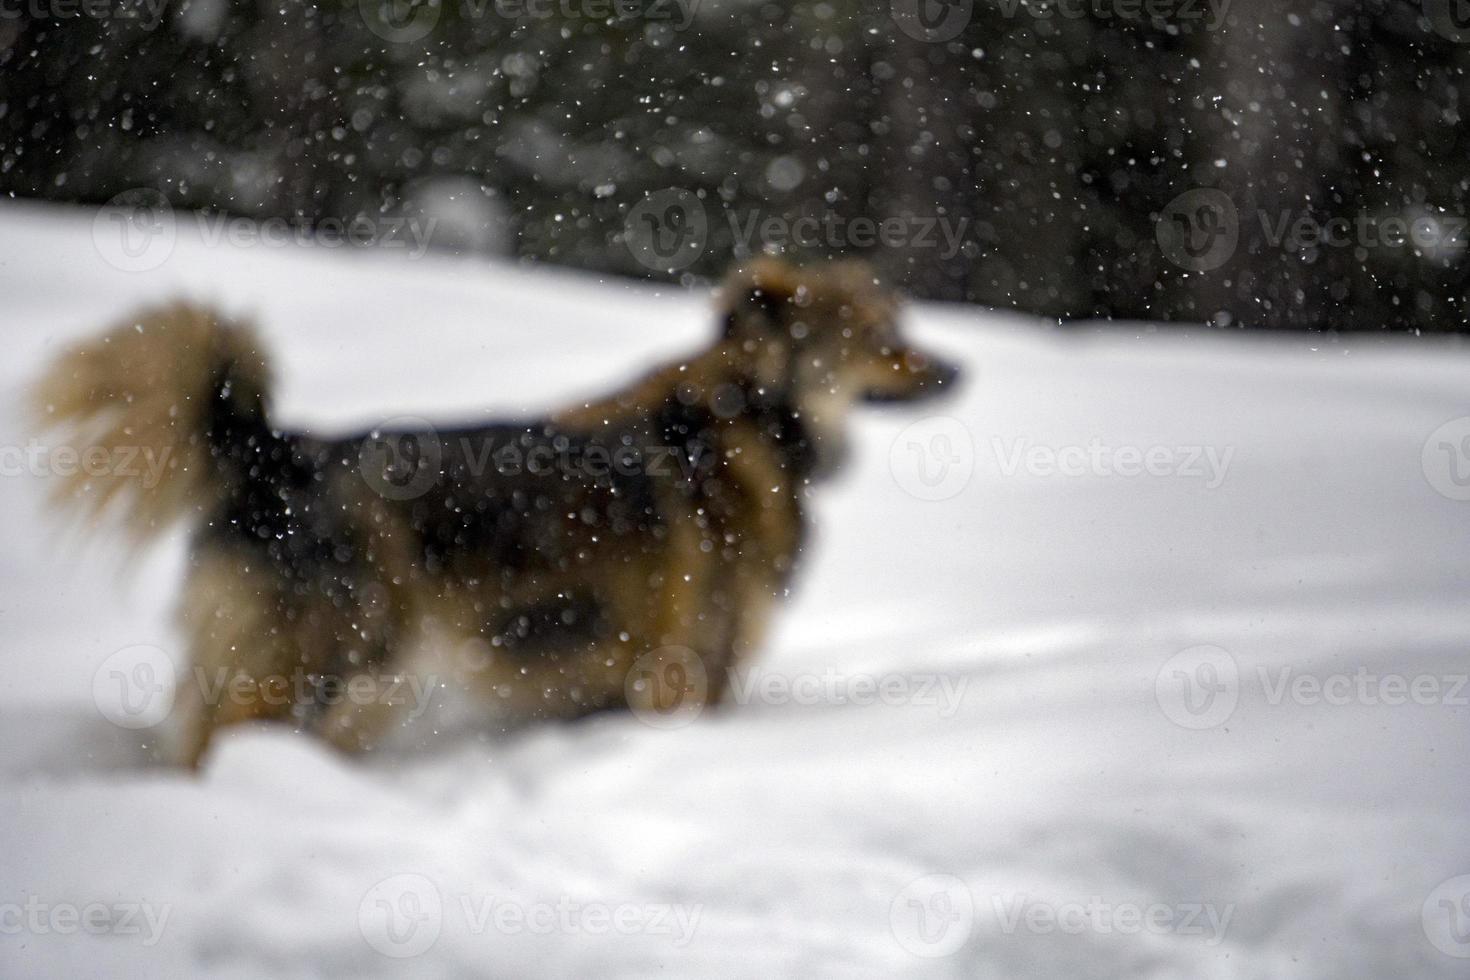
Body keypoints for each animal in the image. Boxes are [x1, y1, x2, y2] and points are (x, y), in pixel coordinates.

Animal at [34, 258, 958, 764]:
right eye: (878, 334)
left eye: (901, 322)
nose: (956, 370)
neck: (743, 419)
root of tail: (279, 452)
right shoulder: (682, 672)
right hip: (325, 657)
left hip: (373, 681)